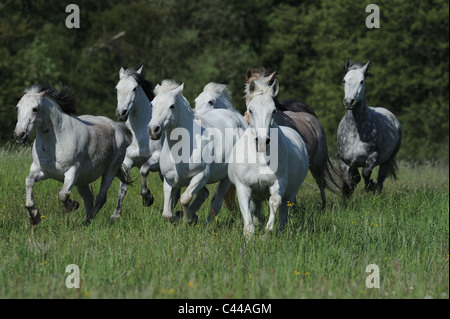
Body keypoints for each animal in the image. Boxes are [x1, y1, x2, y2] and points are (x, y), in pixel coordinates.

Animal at [12, 84, 132, 226]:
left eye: (35, 109)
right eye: (17, 108)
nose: (19, 135)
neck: (54, 143)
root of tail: (117, 128)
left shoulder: (72, 171)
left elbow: (63, 194)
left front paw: (73, 205)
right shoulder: (40, 170)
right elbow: (29, 182)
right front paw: (34, 216)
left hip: (110, 172)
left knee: (100, 198)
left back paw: (87, 221)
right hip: (83, 180)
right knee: (89, 199)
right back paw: (85, 222)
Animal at [110, 64, 163, 221]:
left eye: (134, 88)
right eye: (117, 88)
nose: (121, 113)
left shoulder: (156, 158)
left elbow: (143, 170)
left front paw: (148, 198)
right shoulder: (128, 161)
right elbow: (123, 188)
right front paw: (116, 214)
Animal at [148, 80, 246, 225]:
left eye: (172, 106)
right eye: (152, 104)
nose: (153, 130)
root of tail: (235, 118)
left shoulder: (200, 176)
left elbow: (185, 198)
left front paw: (187, 219)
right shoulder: (169, 180)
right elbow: (167, 213)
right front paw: (180, 217)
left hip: (226, 179)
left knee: (216, 201)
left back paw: (207, 224)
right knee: (204, 195)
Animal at [229, 78, 310, 238]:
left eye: (273, 110)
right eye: (251, 110)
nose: (262, 141)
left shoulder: (278, 183)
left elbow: (275, 202)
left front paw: (268, 232)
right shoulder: (243, 187)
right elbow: (247, 215)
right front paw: (249, 236)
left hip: (292, 191)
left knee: (284, 210)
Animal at [338, 58, 400, 196]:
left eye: (362, 81)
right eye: (344, 80)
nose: (349, 102)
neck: (355, 133)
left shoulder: (373, 156)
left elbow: (366, 173)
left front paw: (369, 186)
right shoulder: (345, 162)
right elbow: (350, 180)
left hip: (388, 160)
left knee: (381, 179)